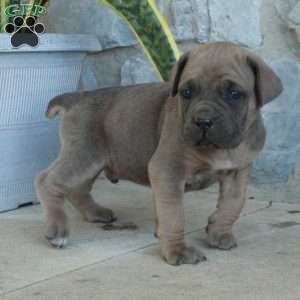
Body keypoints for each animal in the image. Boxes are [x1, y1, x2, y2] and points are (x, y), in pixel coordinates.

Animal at [35, 41, 282, 264]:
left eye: (234, 93)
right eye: (186, 92)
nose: (203, 121)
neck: (219, 150)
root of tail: (79, 96)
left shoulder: (237, 173)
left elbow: (233, 203)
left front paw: (219, 231)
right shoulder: (168, 170)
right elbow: (174, 215)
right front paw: (177, 251)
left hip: (94, 159)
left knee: (77, 188)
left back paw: (95, 213)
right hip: (83, 155)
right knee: (47, 181)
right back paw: (57, 229)